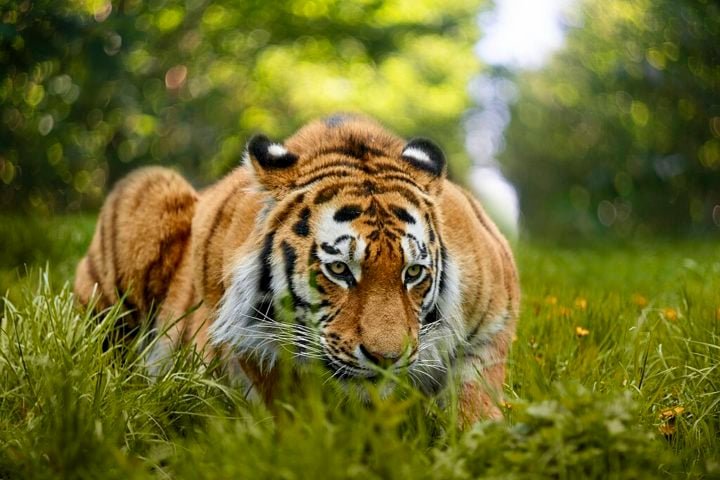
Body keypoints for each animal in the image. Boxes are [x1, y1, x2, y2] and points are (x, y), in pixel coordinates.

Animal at [74, 114, 519, 424]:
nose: (386, 359)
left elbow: (475, 402)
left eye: (413, 273)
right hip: (146, 192)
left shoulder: (492, 320)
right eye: (339, 269)